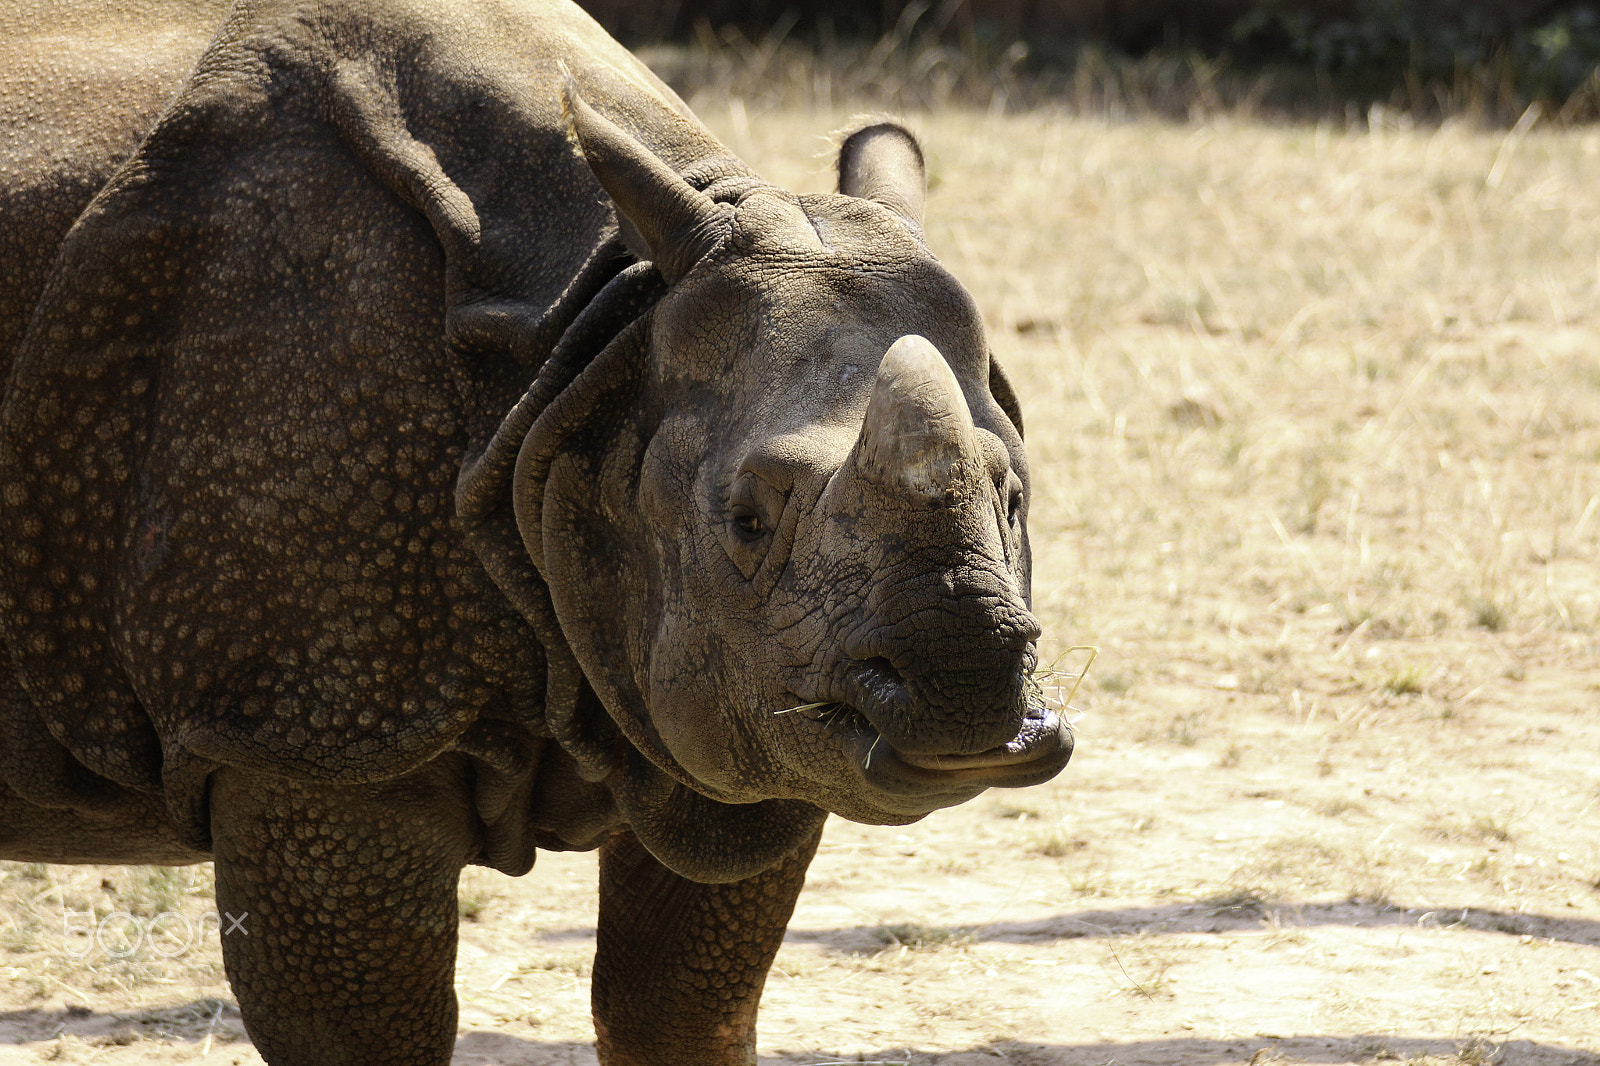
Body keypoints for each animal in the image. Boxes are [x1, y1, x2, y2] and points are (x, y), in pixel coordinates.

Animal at [0, 0, 1071, 1062]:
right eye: (747, 521)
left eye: (1014, 495)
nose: (965, 702)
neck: (589, 348)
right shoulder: (305, 738)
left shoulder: (749, 711)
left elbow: (676, 1008)